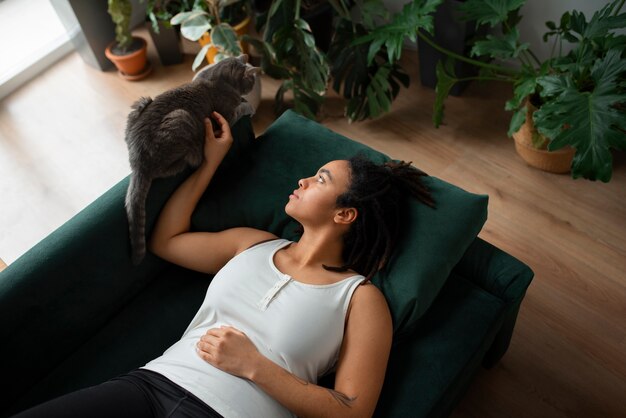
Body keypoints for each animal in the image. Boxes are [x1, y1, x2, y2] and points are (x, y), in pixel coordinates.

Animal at [123, 54, 260, 264]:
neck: (217, 77)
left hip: (140, 105)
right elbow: (241, 106)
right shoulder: (227, 116)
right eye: (251, 80)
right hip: (181, 118)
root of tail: (137, 162)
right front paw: (248, 104)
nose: (252, 86)